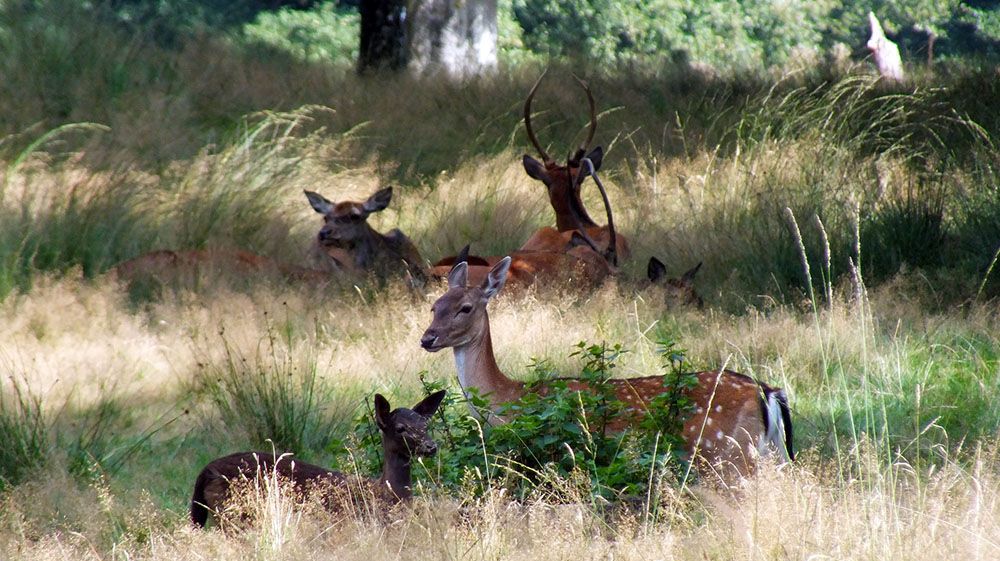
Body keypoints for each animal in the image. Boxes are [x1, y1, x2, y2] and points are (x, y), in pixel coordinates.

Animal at [191, 388, 446, 528]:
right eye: (400, 428)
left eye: (425, 424)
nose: (431, 446)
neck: (387, 493)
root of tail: (204, 472)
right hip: (232, 512)